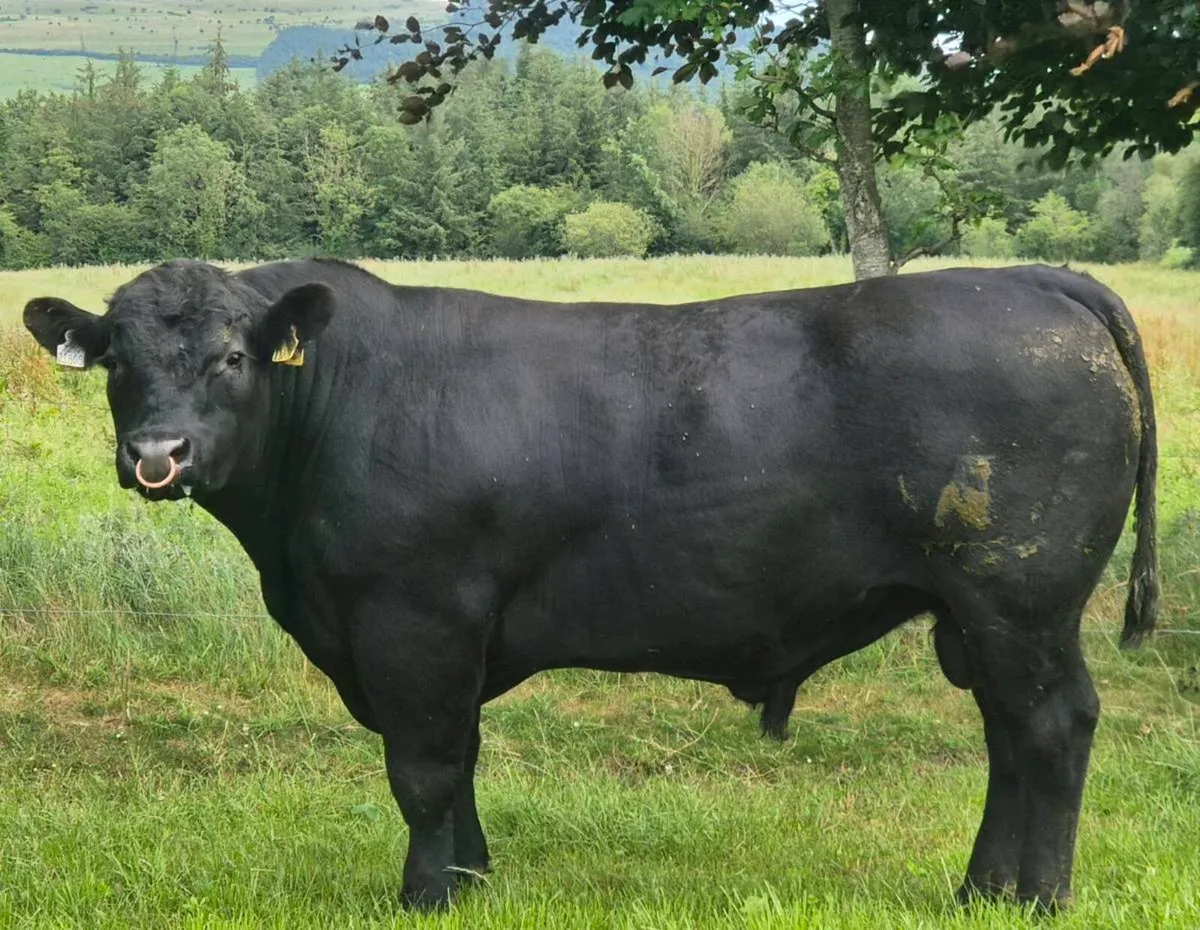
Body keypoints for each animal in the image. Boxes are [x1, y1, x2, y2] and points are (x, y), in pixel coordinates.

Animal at [23, 259, 1157, 913]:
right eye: (116, 360)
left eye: (230, 357)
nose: (156, 456)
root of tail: (1036, 280)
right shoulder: (446, 635)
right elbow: (461, 762)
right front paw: (473, 879)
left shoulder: (413, 620)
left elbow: (423, 769)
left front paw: (425, 897)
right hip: (980, 614)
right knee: (1009, 738)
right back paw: (981, 890)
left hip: (1022, 598)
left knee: (1052, 729)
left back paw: (1039, 898)